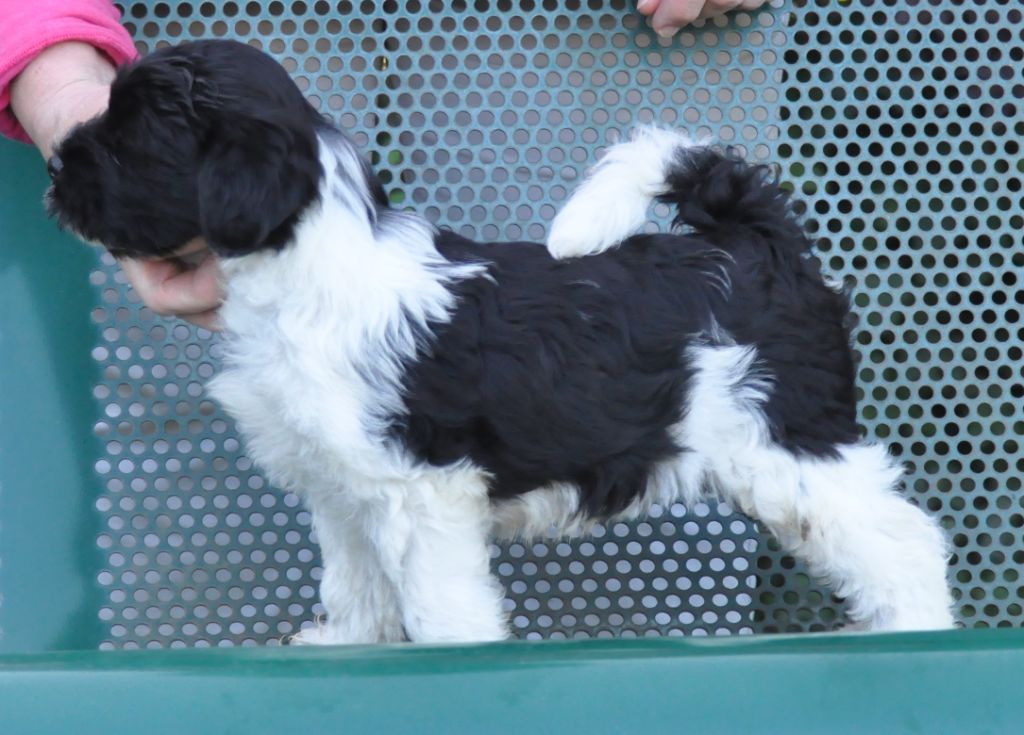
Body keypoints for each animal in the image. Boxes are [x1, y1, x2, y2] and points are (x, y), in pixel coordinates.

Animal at [46, 39, 954, 642]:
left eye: (132, 139)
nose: (58, 167)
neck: (308, 269)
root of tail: (754, 242)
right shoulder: (342, 488)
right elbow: (354, 581)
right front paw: (344, 645)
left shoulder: (422, 494)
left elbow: (441, 605)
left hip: (792, 446)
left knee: (903, 541)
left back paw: (914, 634)